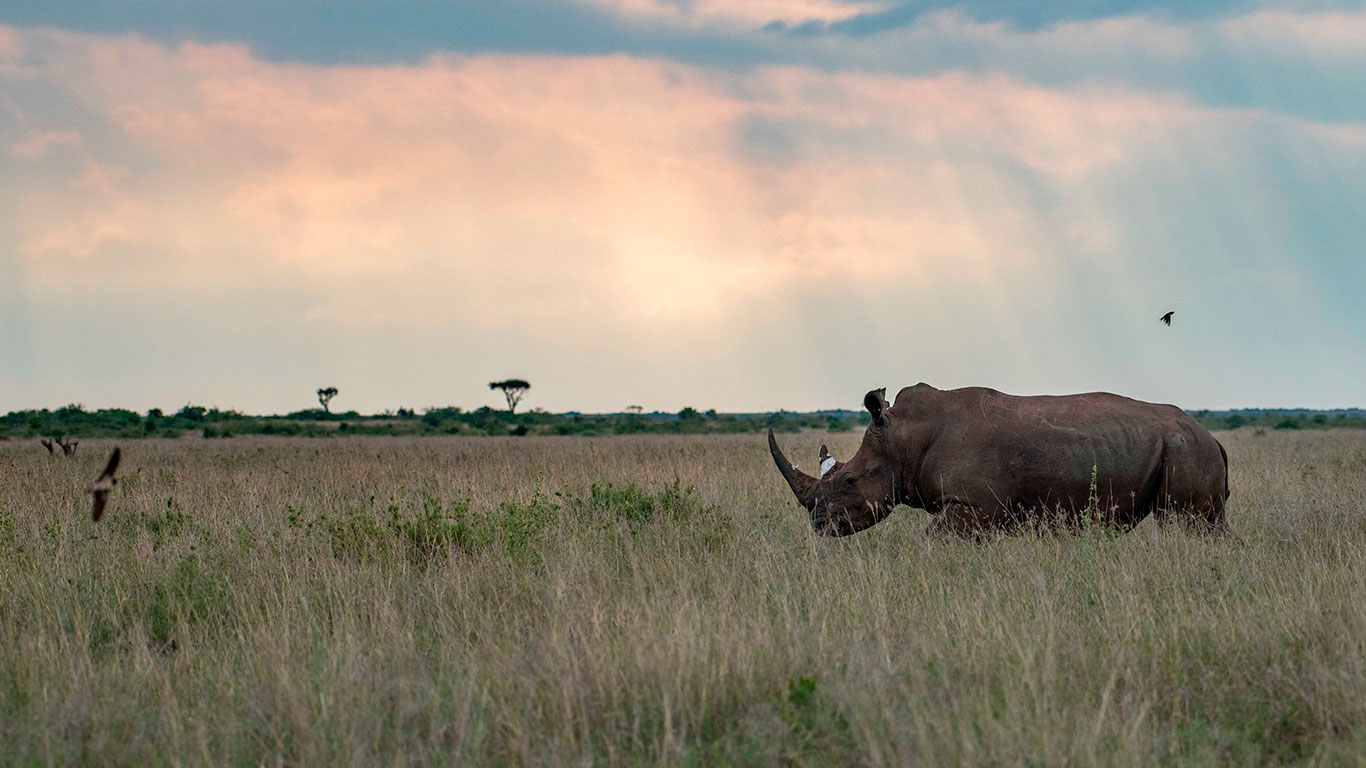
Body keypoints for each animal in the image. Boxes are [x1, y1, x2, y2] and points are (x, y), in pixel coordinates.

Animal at [769, 383, 1230, 537]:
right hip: (1188, 446)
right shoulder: (986, 510)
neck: (904, 437)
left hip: (1185, 447)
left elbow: (933, 539)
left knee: (1181, 523)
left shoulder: (975, 505)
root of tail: (1212, 436)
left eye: (849, 481)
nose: (819, 525)